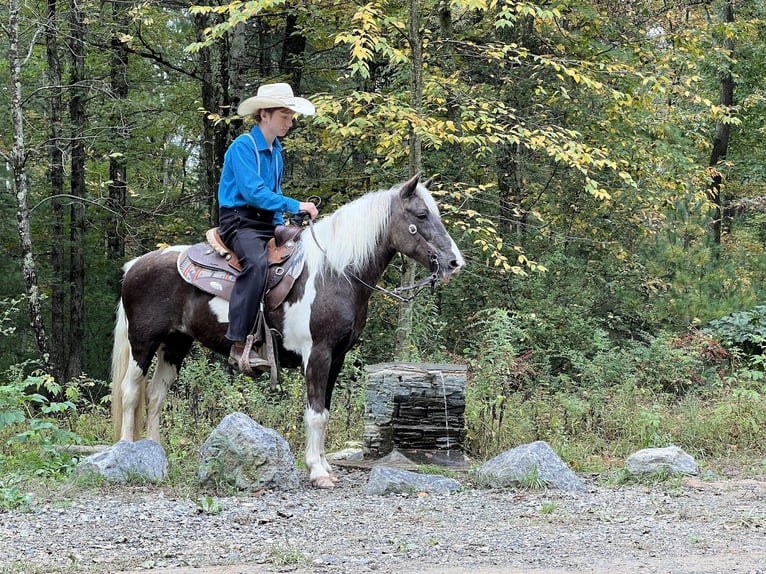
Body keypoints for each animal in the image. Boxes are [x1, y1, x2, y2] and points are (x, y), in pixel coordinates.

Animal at [111, 174, 464, 486]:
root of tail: (135, 265)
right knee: (131, 393)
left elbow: (324, 411)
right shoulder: (318, 354)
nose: (454, 263)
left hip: (175, 344)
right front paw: (317, 472)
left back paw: (154, 450)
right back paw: (127, 452)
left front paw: (323, 466)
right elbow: (315, 414)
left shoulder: (336, 358)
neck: (334, 273)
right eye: (421, 215)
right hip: (143, 343)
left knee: (156, 395)